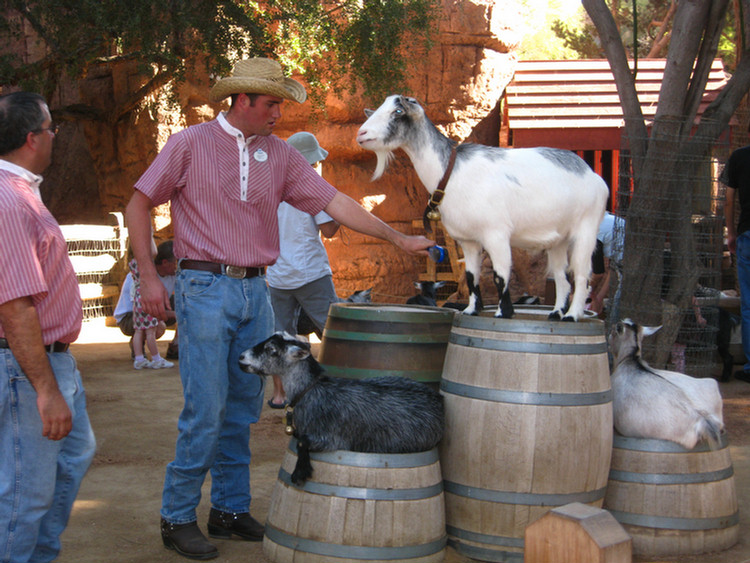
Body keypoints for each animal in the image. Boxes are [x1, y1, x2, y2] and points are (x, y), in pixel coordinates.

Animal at [238, 332, 444, 486]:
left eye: (271, 349)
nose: (241, 357)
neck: (312, 391)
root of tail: (439, 399)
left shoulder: (333, 438)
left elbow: (302, 442)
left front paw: (300, 471)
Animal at [358, 94, 612, 320]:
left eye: (398, 111)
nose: (361, 133)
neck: (451, 172)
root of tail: (591, 173)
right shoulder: (468, 241)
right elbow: (471, 276)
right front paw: (471, 310)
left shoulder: (496, 234)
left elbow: (500, 276)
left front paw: (504, 312)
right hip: (557, 240)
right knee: (561, 277)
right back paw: (556, 313)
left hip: (586, 229)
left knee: (581, 276)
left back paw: (572, 315)